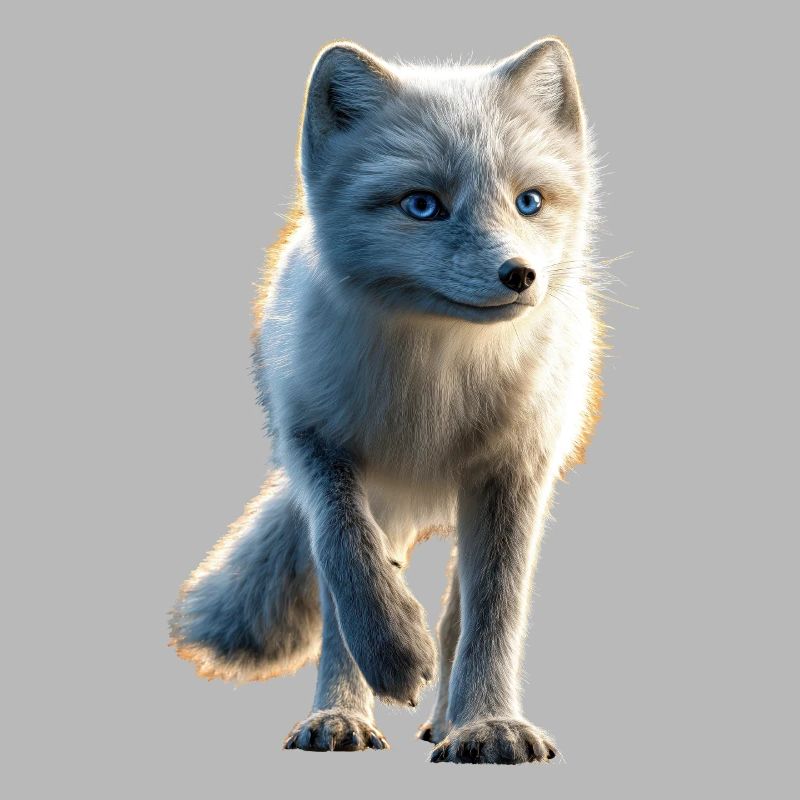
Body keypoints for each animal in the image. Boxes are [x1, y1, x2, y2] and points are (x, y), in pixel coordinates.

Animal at [170, 36, 604, 765]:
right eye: (422, 206)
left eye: (529, 202)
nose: (520, 275)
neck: (433, 385)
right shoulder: (316, 444)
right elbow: (348, 562)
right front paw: (391, 657)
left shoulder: (516, 469)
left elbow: (493, 613)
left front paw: (490, 726)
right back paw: (343, 716)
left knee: (460, 612)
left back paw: (450, 721)